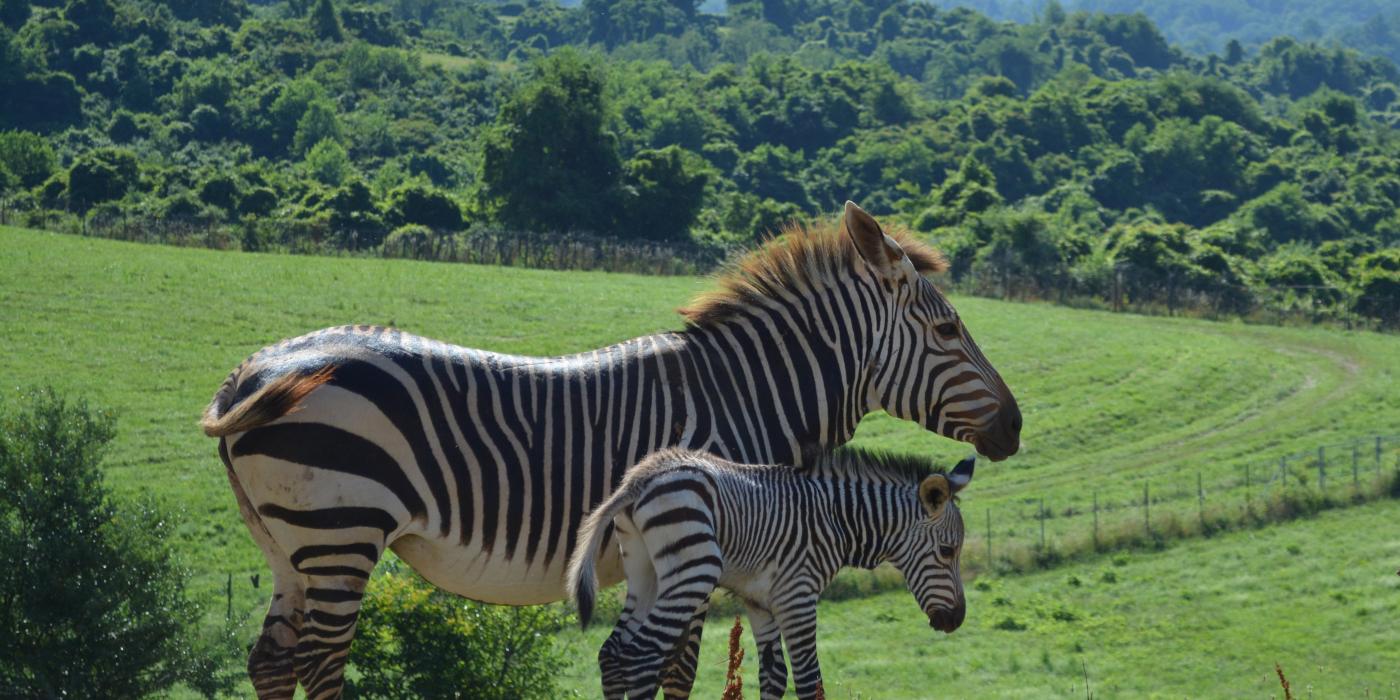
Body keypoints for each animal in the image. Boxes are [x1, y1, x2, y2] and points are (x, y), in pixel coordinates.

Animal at [568, 448, 974, 700]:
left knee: (613, 653)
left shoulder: (760, 602)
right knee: (642, 655)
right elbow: (809, 680)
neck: (837, 520)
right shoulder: (798, 597)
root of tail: (641, 478)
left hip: (644, 573)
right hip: (693, 573)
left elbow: (774, 675)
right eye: (947, 551)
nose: (956, 620)